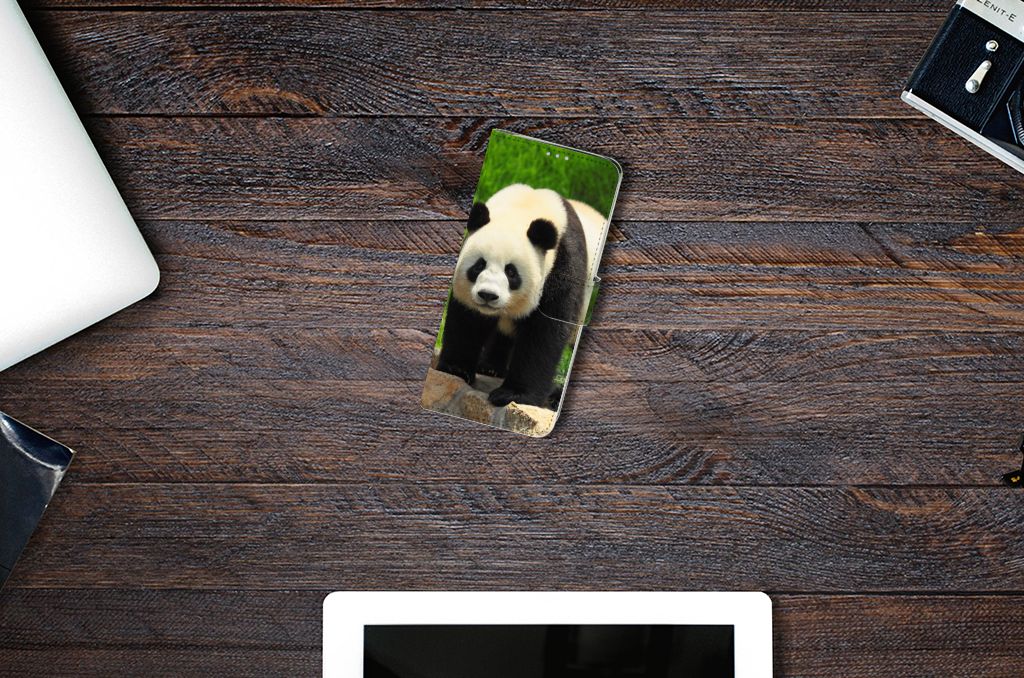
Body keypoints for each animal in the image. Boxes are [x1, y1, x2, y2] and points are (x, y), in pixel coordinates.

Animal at [435, 183, 606, 408]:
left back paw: (554, 397)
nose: (488, 295)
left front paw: (513, 394)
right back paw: (490, 367)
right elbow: (467, 319)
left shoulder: (563, 266)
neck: (524, 208)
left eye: (511, 272)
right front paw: (456, 368)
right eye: (479, 265)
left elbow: (544, 333)